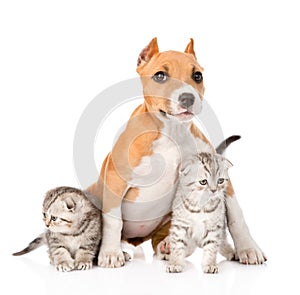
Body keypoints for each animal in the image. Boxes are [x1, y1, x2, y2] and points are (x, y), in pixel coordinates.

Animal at [87, 38, 268, 268]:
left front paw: (248, 249)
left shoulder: (221, 178)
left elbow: (237, 216)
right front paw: (110, 253)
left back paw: (167, 246)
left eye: (197, 75)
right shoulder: (114, 179)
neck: (172, 132)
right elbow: (112, 220)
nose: (187, 98)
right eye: (160, 76)